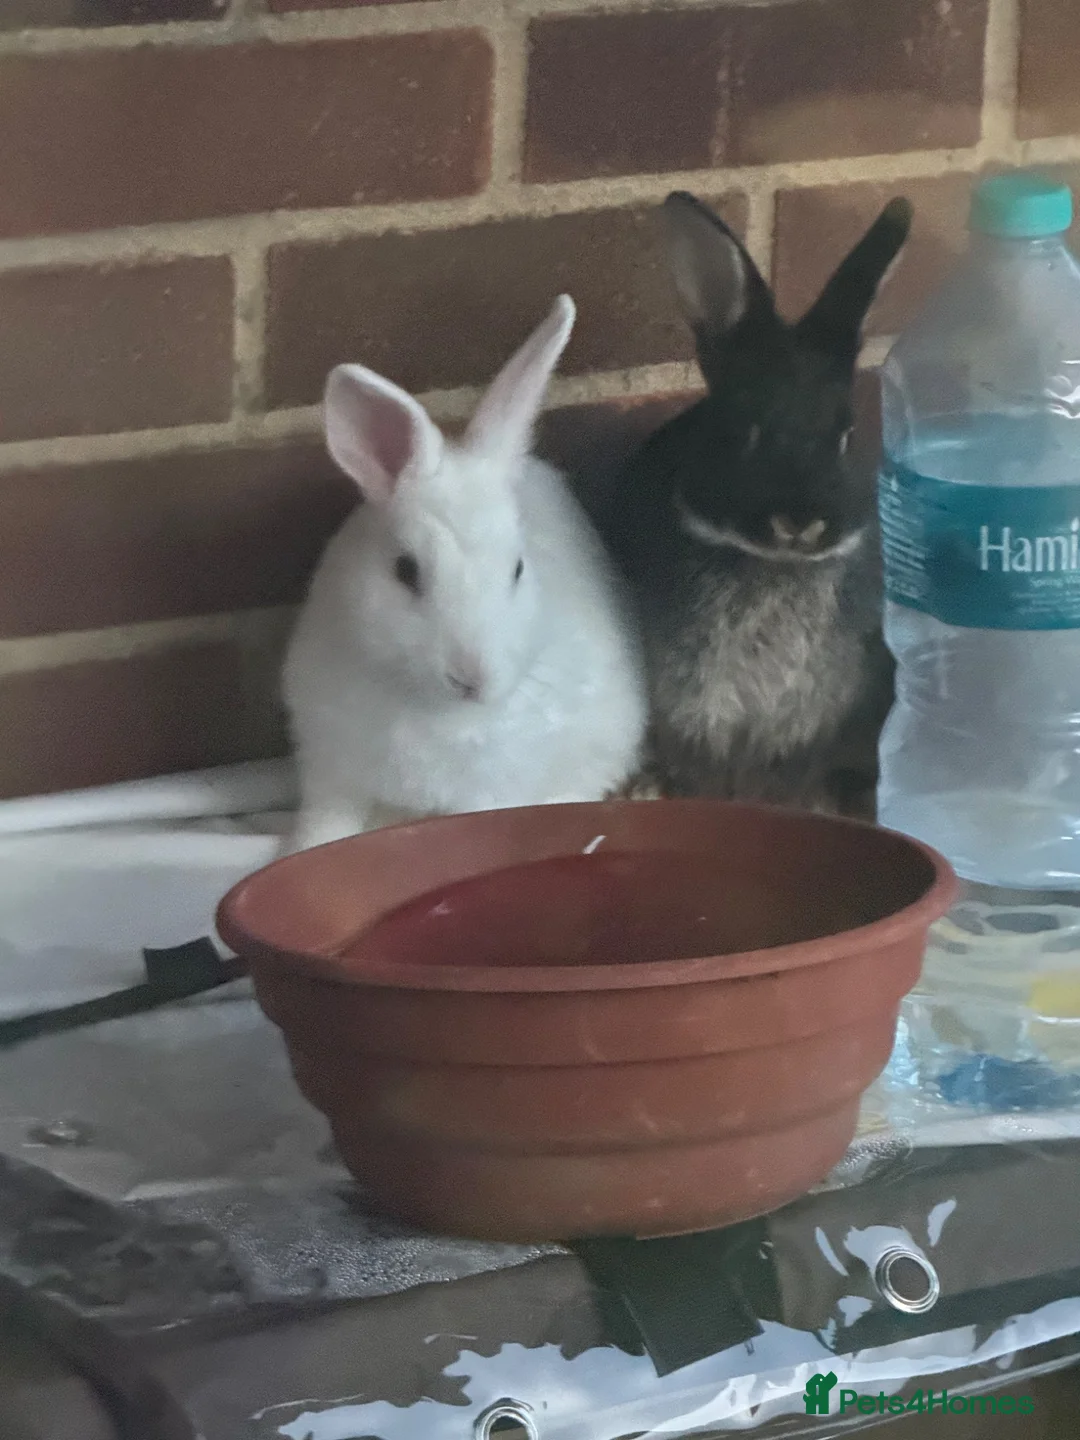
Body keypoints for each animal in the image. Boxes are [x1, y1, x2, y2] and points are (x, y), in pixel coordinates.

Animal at [282, 294, 649, 854]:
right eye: (405, 570)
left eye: (517, 568)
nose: (471, 679)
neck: (429, 705)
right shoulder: (331, 769)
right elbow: (324, 828)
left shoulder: (485, 792)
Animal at [602, 191, 914, 819]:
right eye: (744, 430)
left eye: (846, 436)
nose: (802, 522)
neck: (775, 566)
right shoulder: (692, 707)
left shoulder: (810, 720)